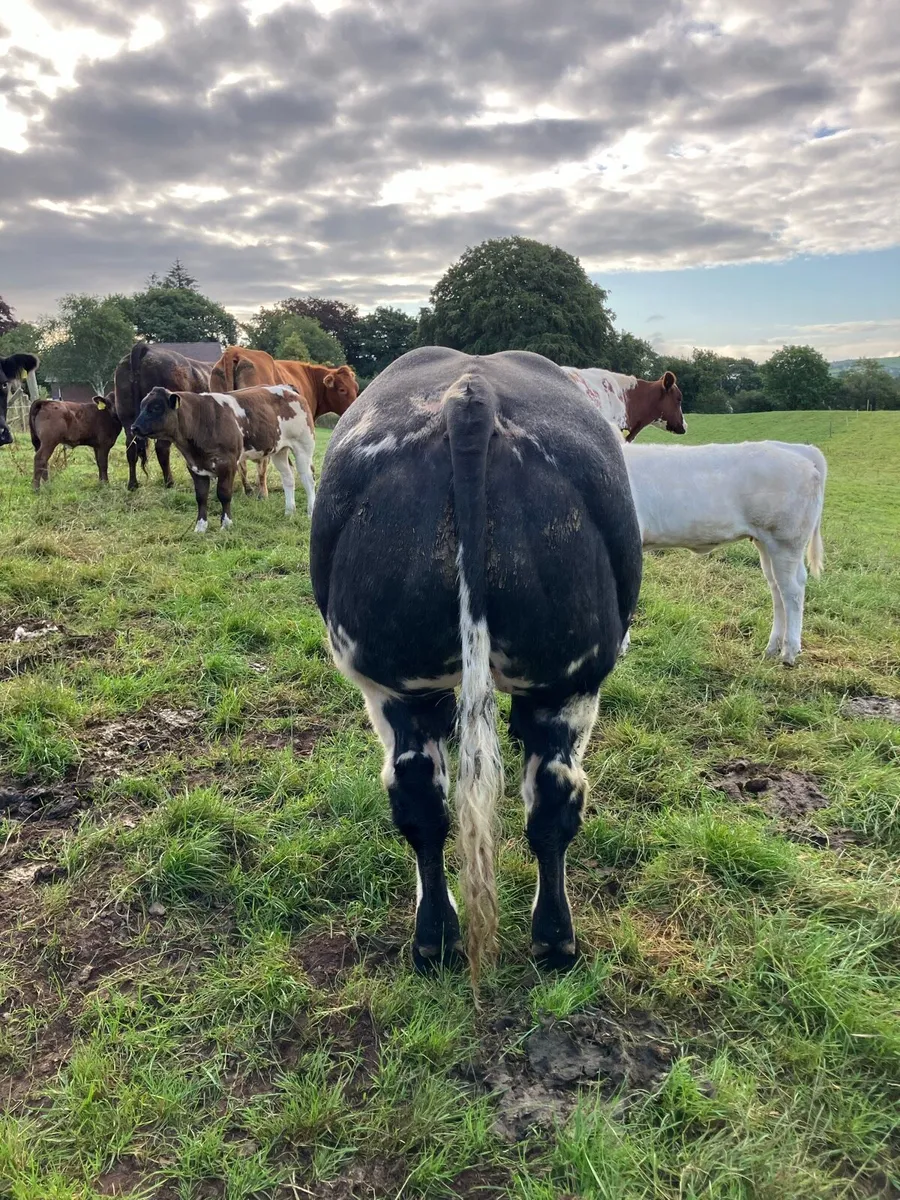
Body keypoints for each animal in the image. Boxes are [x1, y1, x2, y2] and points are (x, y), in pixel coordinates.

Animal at [115, 343, 213, 491]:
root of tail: (145, 349)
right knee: (162, 448)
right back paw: (169, 482)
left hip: (127, 418)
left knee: (131, 448)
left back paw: (133, 484)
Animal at [132, 383, 317, 532]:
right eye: (141, 406)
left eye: (156, 407)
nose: (134, 427)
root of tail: (287, 388)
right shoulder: (195, 467)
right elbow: (201, 497)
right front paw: (200, 527)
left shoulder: (228, 464)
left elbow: (224, 494)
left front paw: (226, 524)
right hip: (279, 450)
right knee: (288, 478)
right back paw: (289, 512)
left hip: (303, 446)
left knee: (308, 479)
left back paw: (310, 512)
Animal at [210, 348, 358, 495]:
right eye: (342, 389)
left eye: (356, 388)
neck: (311, 380)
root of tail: (235, 350)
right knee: (262, 463)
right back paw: (263, 492)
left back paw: (248, 490)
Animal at [310, 347, 642, 984]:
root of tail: (471, 393)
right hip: (568, 680)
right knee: (545, 797)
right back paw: (544, 939)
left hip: (399, 682)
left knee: (428, 798)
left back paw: (444, 939)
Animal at [619, 440, 826, 665]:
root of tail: (798, 449)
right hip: (768, 544)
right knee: (778, 588)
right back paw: (772, 648)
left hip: (785, 541)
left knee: (792, 592)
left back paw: (788, 652)